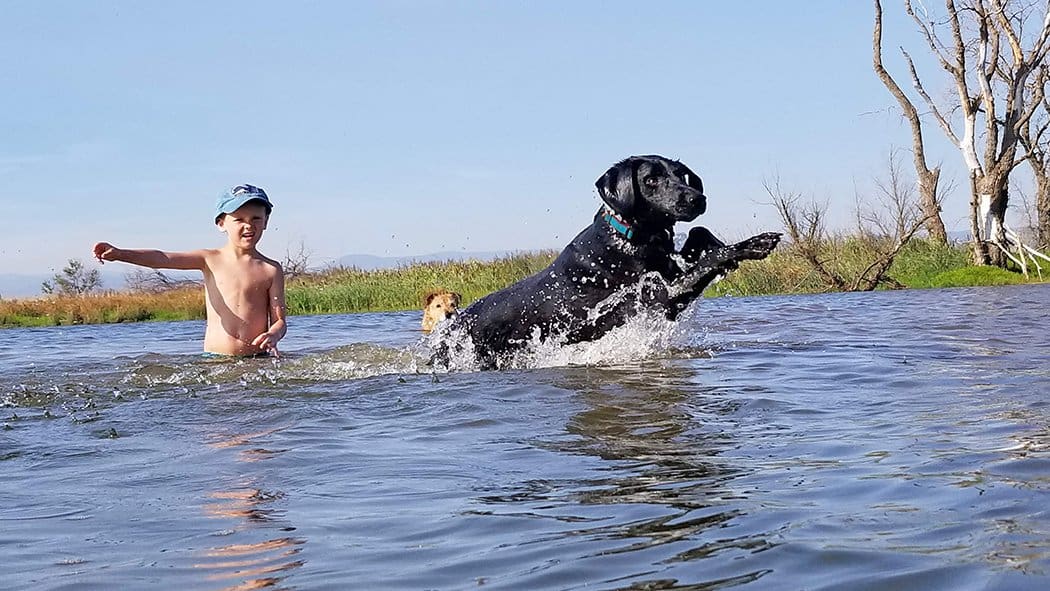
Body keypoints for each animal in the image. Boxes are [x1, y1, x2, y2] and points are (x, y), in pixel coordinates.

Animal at [430, 155, 785, 367]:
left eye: (681, 175)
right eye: (651, 180)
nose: (697, 199)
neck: (634, 237)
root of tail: (448, 330)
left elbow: (699, 233)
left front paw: (716, 244)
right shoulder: (663, 297)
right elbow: (706, 263)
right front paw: (750, 246)